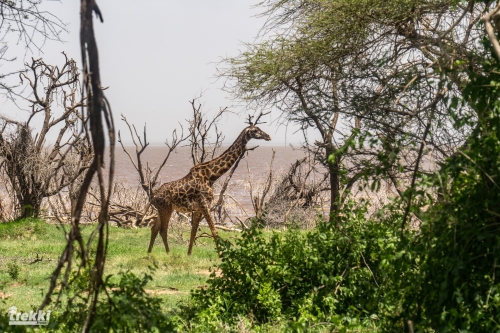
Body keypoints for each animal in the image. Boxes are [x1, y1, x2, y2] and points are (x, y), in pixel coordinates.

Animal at [147, 118, 272, 255]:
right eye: (255, 130)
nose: (268, 136)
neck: (211, 176)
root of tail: (153, 197)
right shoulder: (205, 204)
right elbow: (214, 230)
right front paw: (221, 255)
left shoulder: (199, 208)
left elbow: (193, 232)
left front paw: (189, 255)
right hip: (166, 209)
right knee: (162, 230)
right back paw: (168, 254)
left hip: (162, 209)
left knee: (154, 228)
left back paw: (149, 253)